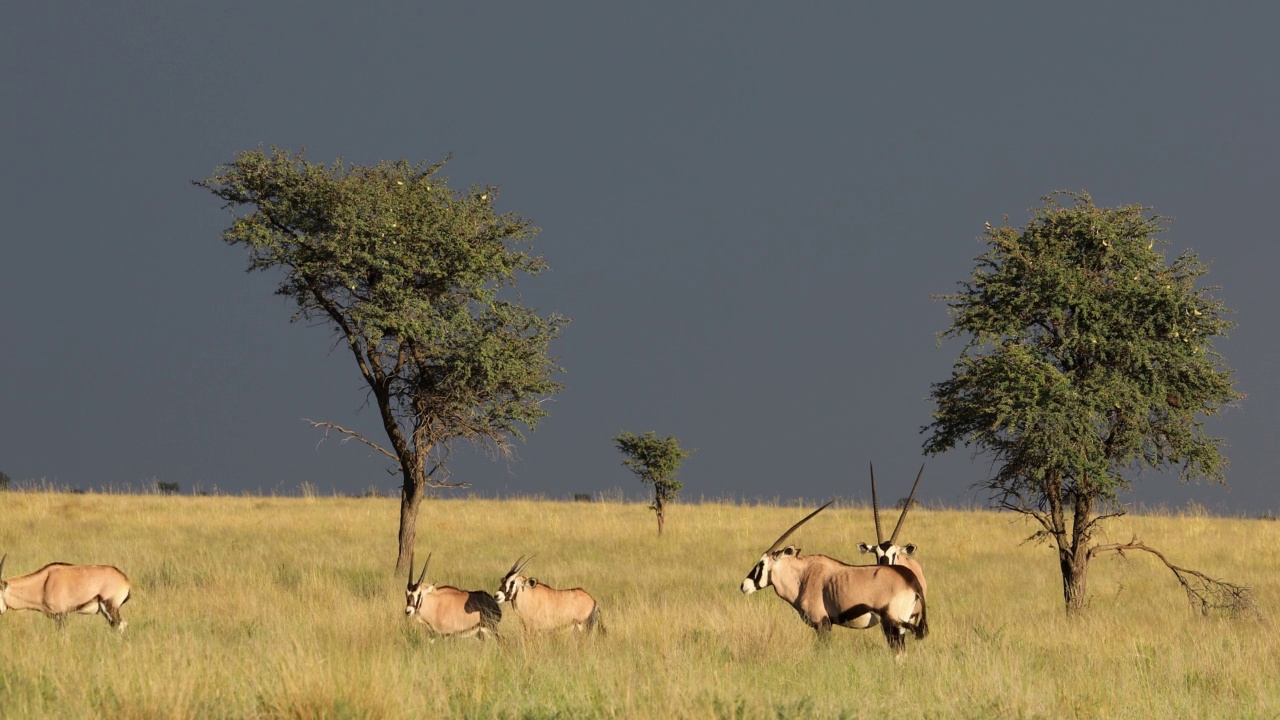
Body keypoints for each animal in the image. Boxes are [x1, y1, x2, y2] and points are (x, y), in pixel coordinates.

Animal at [742, 502, 931, 653]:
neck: (803, 576)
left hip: (893, 624)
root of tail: (911, 580)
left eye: (761, 564)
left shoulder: (822, 624)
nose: (743, 585)